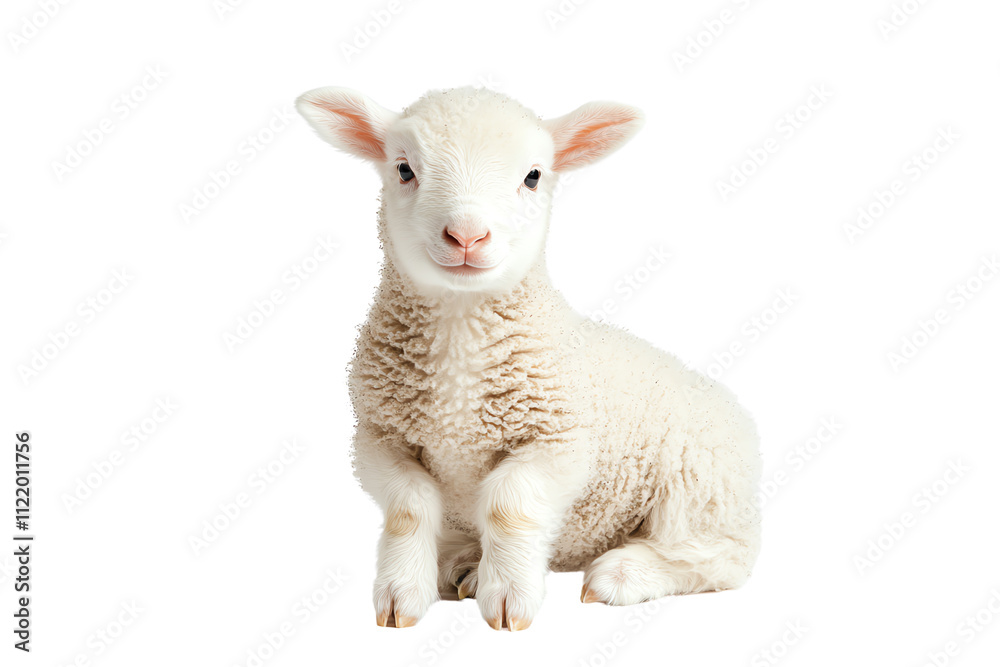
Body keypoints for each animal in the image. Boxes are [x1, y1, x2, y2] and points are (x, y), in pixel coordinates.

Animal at [296, 85, 762, 631]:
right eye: (404, 169)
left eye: (533, 176)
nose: (467, 236)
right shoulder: (379, 438)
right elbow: (409, 507)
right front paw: (401, 593)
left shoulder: (557, 441)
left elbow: (508, 504)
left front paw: (507, 596)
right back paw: (462, 563)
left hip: (701, 486)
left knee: (721, 556)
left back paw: (624, 573)